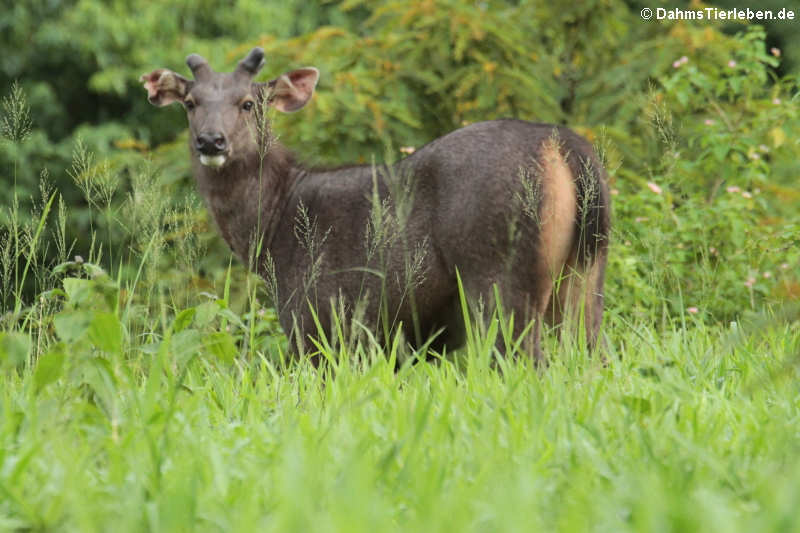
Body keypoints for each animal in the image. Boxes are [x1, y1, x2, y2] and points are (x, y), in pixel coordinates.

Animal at [141, 47, 608, 364]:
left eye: (248, 103)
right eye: (190, 103)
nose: (211, 141)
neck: (272, 228)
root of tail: (563, 147)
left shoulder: (315, 316)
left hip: (500, 273)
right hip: (585, 268)